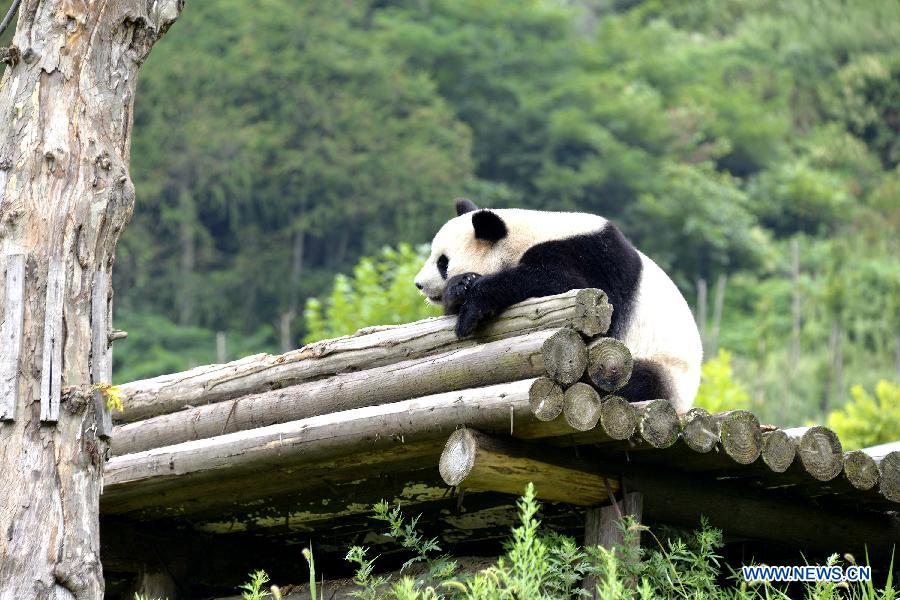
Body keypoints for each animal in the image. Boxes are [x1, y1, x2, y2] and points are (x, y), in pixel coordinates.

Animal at [414, 198, 703, 412]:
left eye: (442, 262)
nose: (418, 284)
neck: (527, 234)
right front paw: (460, 287)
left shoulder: (593, 258)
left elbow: (563, 284)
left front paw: (473, 306)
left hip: (660, 367)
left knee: (631, 378)